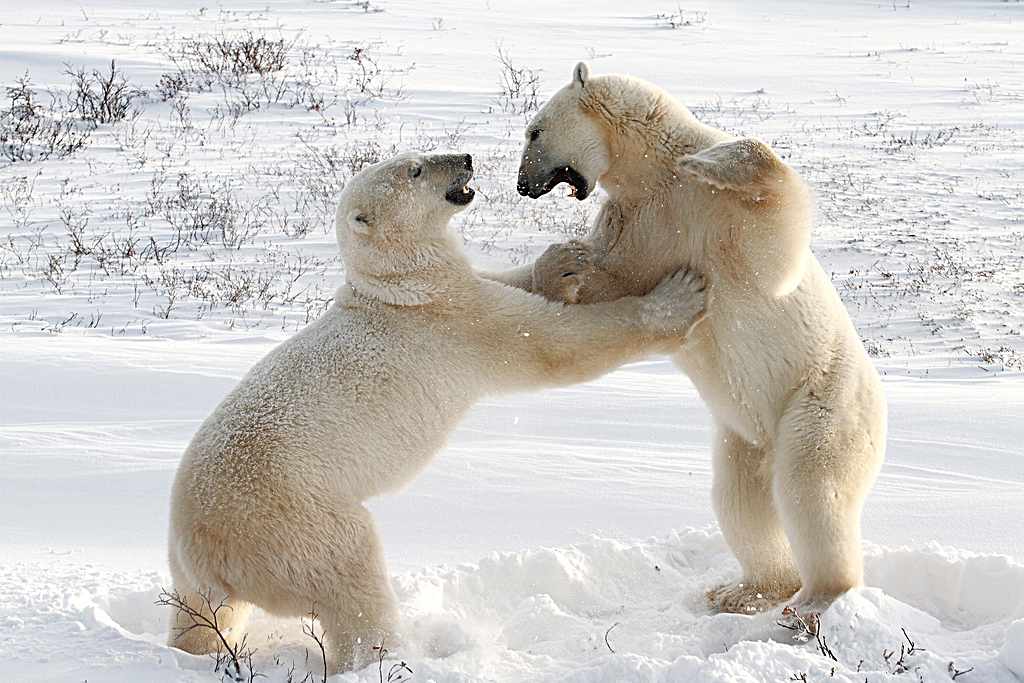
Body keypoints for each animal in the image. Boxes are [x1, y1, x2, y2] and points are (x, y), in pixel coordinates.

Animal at [169, 150, 712, 671]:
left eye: (416, 154)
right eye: (416, 169)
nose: (467, 158)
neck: (400, 289)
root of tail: (204, 555)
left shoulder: (456, 290)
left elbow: (507, 282)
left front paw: (563, 261)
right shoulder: (455, 322)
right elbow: (551, 343)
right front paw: (678, 298)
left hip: (198, 569)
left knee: (202, 618)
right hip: (292, 521)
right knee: (351, 578)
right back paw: (391, 653)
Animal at [487, 63, 888, 614]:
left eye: (534, 131)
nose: (523, 184)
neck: (651, 174)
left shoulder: (709, 212)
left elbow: (776, 243)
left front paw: (708, 161)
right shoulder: (634, 224)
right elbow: (606, 286)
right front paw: (564, 263)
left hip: (822, 400)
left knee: (810, 485)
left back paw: (817, 600)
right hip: (744, 437)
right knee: (740, 501)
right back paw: (745, 590)